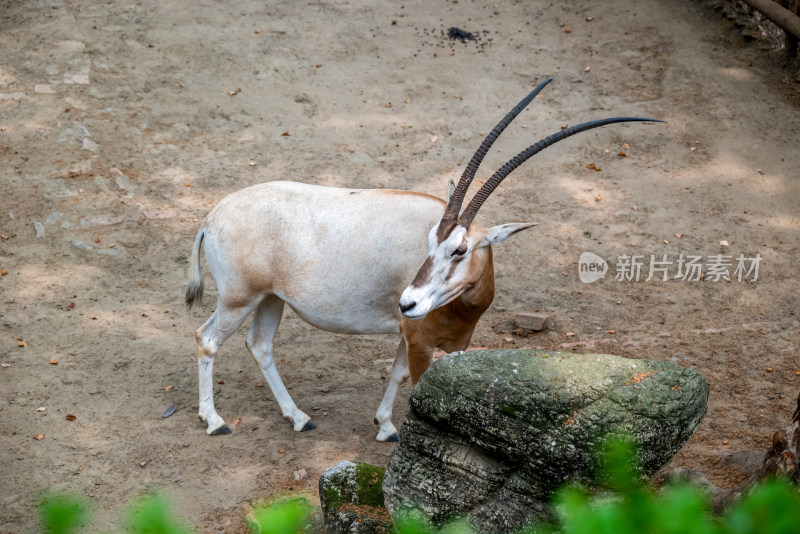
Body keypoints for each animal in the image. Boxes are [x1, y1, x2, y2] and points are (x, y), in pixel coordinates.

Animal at [188, 78, 664, 440]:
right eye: (430, 242)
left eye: (459, 248)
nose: (407, 303)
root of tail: (211, 218)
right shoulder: (419, 339)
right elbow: (413, 384)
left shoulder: (451, 345)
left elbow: (402, 376)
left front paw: (384, 427)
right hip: (239, 299)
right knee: (207, 339)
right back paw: (215, 421)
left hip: (270, 299)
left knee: (260, 345)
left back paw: (299, 418)